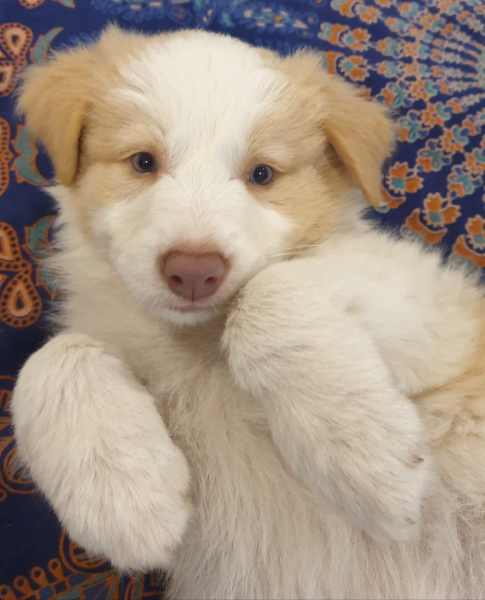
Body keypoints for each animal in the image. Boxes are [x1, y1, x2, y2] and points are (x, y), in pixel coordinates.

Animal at [10, 29, 484, 600]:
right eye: (143, 162)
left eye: (262, 174)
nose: (194, 272)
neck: (197, 346)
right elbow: (53, 356)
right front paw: (126, 500)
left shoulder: (438, 308)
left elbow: (267, 290)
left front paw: (370, 462)